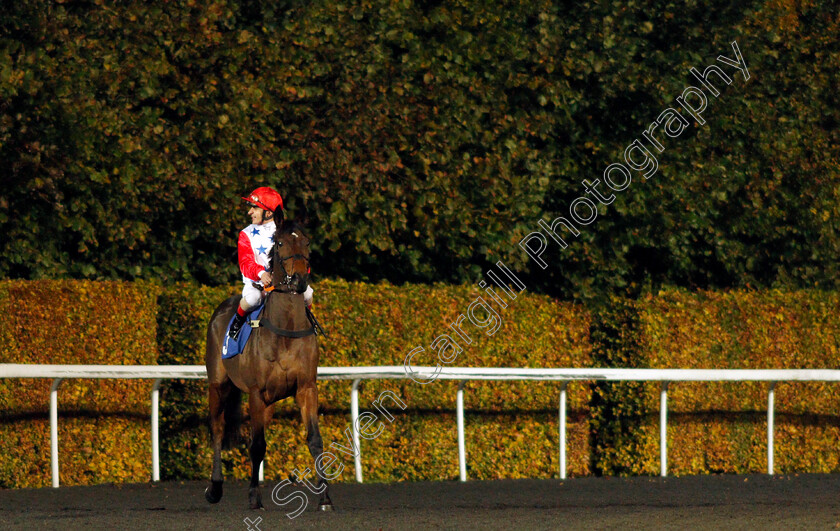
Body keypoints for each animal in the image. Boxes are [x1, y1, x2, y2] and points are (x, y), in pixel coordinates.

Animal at [204, 219, 334, 512]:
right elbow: (257, 445)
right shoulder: (256, 393)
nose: (299, 280)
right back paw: (215, 488)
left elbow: (315, 440)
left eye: (307, 242)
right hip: (218, 384)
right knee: (217, 429)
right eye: (281, 242)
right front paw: (254, 497)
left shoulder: (306, 388)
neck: (286, 330)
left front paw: (325, 498)